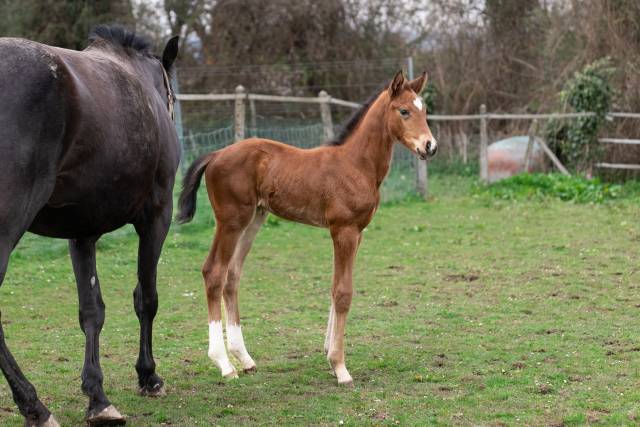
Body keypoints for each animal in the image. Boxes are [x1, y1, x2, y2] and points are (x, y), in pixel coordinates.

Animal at [0, 25, 179, 426]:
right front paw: (148, 375)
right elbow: (146, 298)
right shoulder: (157, 215)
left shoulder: (81, 234)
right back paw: (35, 407)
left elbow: (91, 311)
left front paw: (97, 396)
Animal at [176, 70, 437, 386]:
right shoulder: (343, 230)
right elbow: (343, 292)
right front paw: (339, 366)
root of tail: (215, 154)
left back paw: (245, 359)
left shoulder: (358, 233)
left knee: (232, 275)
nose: (430, 146)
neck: (355, 163)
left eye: (424, 109)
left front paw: (329, 355)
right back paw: (224, 364)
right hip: (231, 220)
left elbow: (335, 287)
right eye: (404, 111)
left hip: (254, 220)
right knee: (214, 272)